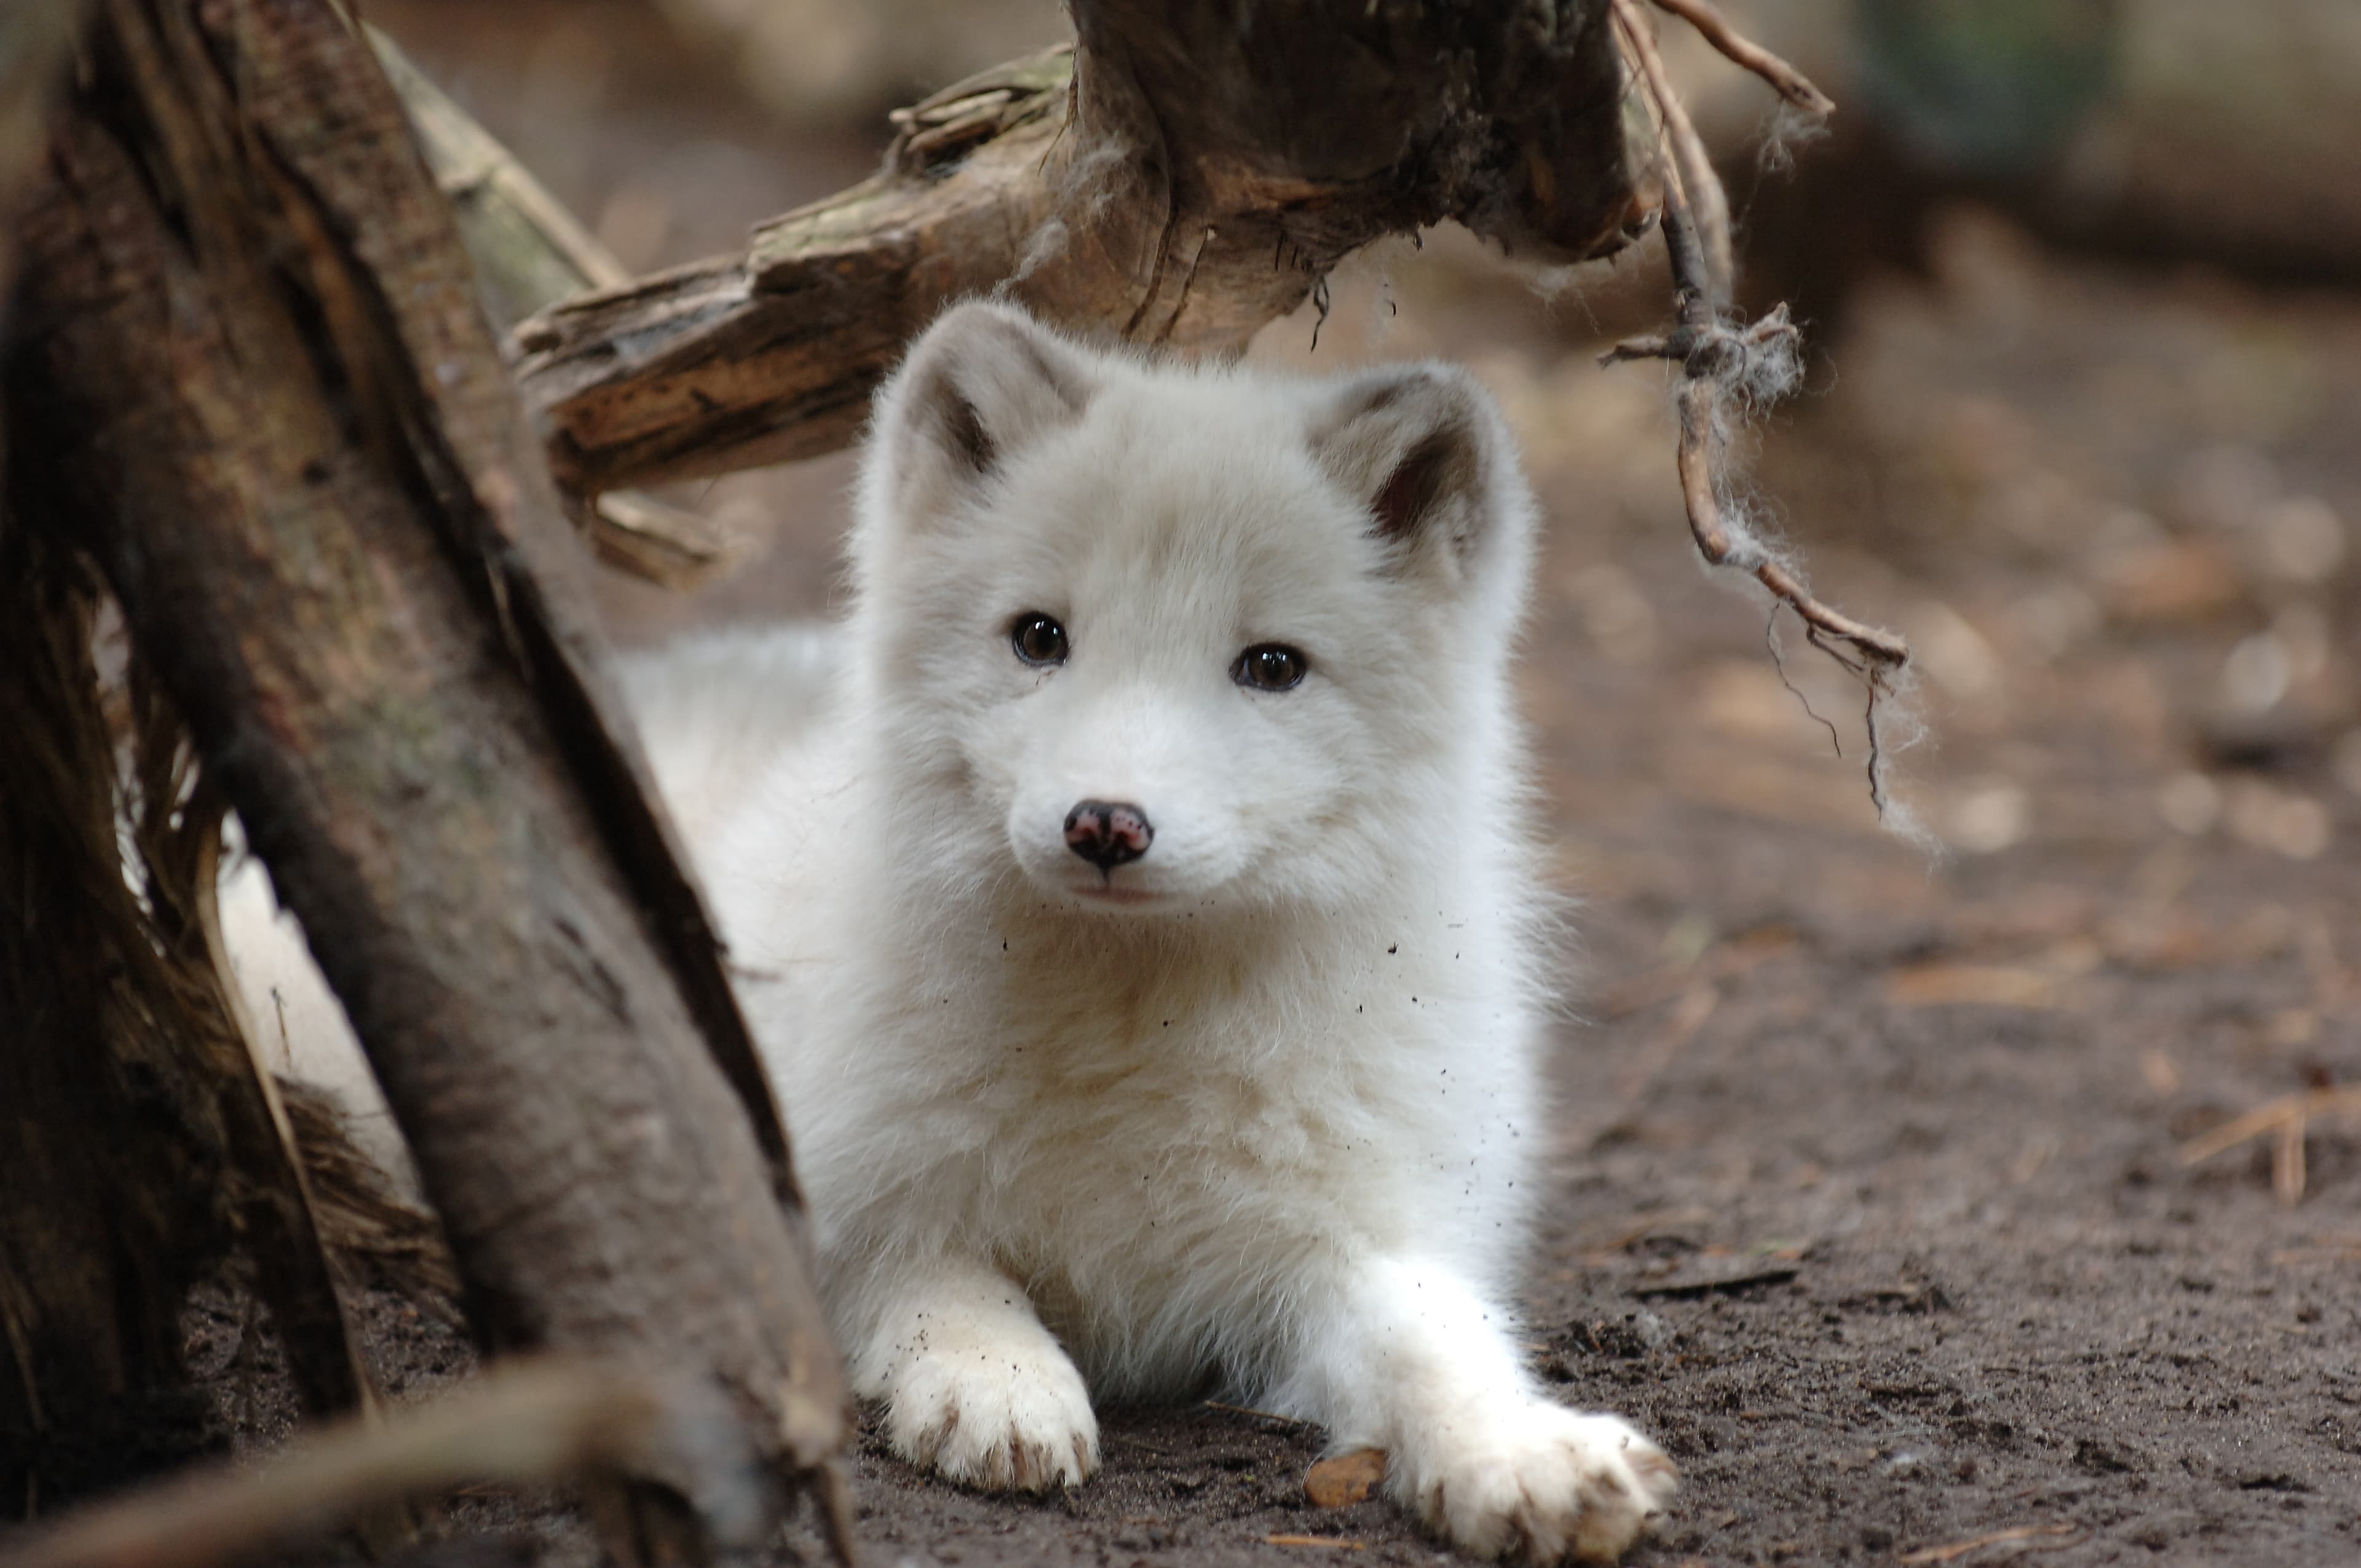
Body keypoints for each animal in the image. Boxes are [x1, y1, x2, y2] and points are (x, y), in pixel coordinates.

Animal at [239, 299, 1681, 1558]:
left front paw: (1524, 1453)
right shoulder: (826, 1205)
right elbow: (943, 1275)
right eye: (1040, 639)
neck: (1129, 1025)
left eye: (1272, 667)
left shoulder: (1351, 1235)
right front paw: (1000, 1381)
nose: (1107, 825)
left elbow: (1438, 1334)